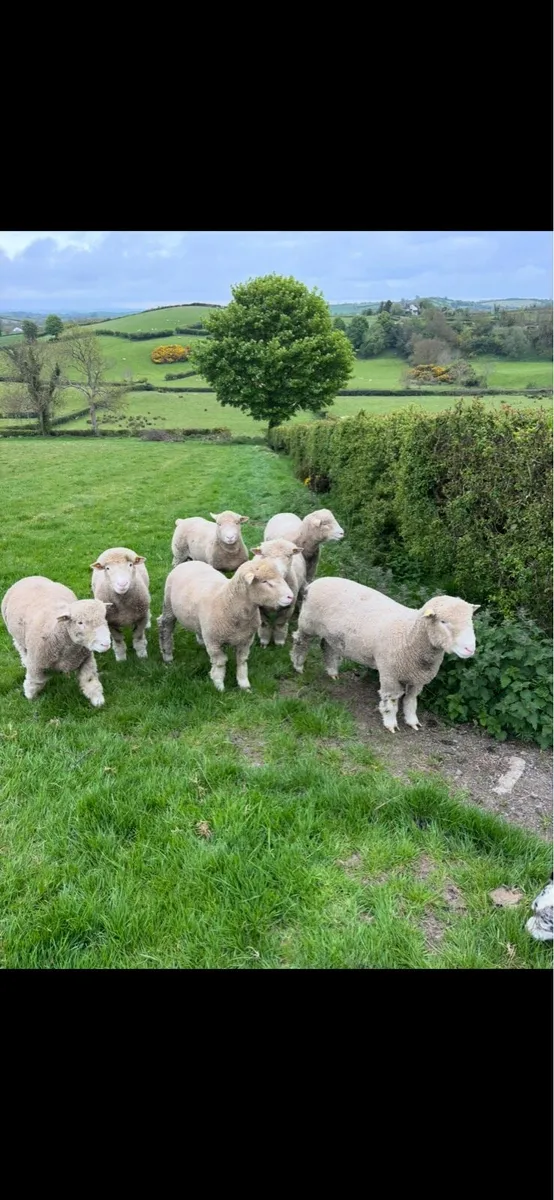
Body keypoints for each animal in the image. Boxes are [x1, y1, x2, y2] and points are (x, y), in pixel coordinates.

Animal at [1, 576, 111, 707]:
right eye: (80, 622)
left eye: (104, 618)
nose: (106, 643)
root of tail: (30, 577)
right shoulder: (36, 664)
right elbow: (36, 682)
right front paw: (31, 697)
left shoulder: (86, 659)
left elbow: (89, 680)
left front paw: (97, 699)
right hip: (17, 637)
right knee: (21, 649)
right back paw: (24, 661)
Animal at [157, 558, 294, 692]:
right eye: (265, 582)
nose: (291, 597)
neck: (227, 601)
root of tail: (190, 562)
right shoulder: (214, 642)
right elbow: (220, 663)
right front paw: (219, 684)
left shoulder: (246, 640)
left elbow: (242, 661)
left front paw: (244, 684)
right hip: (168, 606)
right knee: (165, 626)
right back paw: (167, 655)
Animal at [290, 577, 479, 733]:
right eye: (443, 622)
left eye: (470, 620)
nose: (470, 648)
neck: (409, 634)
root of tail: (314, 583)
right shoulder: (390, 674)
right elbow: (391, 701)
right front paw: (390, 723)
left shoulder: (417, 678)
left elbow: (411, 701)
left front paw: (413, 721)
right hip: (308, 623)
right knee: (301, 642)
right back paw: (298, 665)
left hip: (333, 635)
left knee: (327, 647)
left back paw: (332, 672)